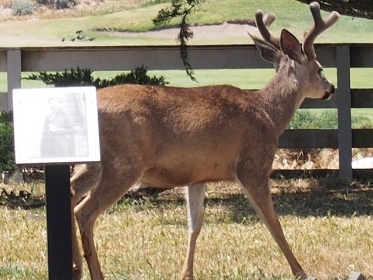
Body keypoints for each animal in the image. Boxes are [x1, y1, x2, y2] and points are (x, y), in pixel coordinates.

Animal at [70, 2, 340, 280]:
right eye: (320, 68)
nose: (331, 88)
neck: (269, 116)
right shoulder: (253, 165)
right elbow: (273, 223)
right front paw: (300, 271)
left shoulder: (197, 176)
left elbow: (194, 226)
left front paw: (186, 273)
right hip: (124, 162)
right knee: (84, 211)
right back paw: (94, 272)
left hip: (93, 162)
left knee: (71, 192)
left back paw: (75, 267)